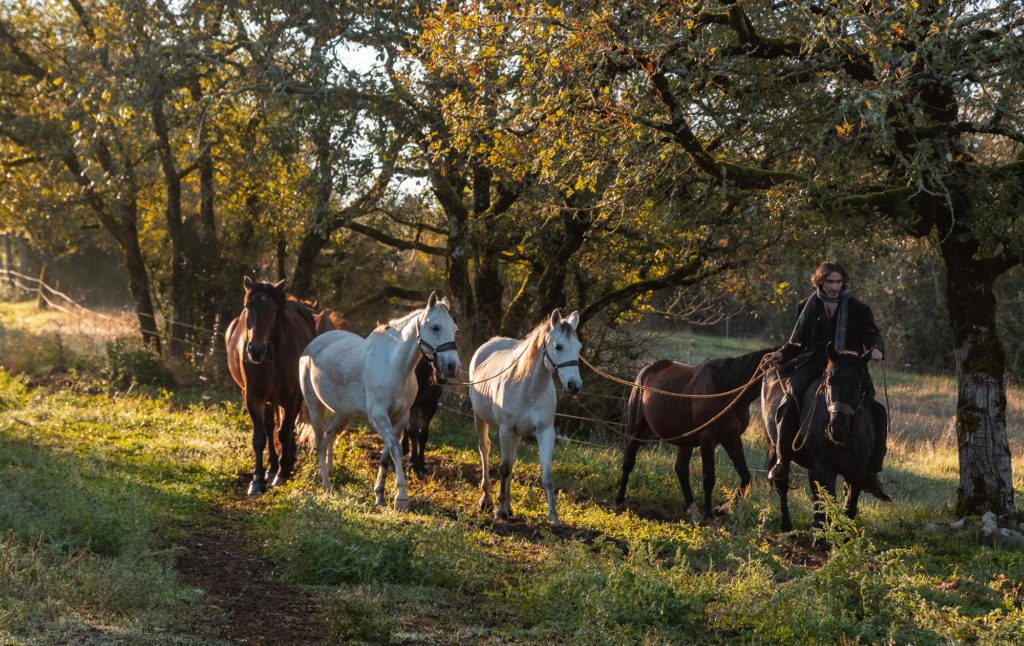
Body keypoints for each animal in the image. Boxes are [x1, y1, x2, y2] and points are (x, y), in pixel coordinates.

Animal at [226, 276, 317, 495]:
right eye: (248, 306)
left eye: (274, 309)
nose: (255, 350)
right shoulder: (254, 397)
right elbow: (260, 437)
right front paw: (257, 481)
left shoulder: (292, 398)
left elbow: (284, 432)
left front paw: (282, 474)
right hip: (267, 399)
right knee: (269, 428)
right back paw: (272, 467)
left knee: (286, 428)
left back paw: (285, 464)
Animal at [299, 292, 460, 509]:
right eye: (435, 327)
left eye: (454, 329)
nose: (453, 367)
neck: (395, 367)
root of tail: (312, 345)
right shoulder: (379, 417)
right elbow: (396, 449)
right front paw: (401, 497)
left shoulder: (399, 418)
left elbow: (386, 455)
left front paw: (380, 495)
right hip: (314, 405)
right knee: (320, 441)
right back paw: (326, 484)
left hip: (343, 412)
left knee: (330, 432)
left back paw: (328, 471)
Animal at [471, 309, 585, 524]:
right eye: (558, 346)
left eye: (579, 348)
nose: (574, 386)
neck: (529, 389)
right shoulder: (506, 431)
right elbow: (504, 469)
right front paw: (499, 510)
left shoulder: (545, 432)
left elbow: (546, 476)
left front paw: (554, 517)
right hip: (480, 418)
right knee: (485, 450)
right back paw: (487, 500)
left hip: (516, 434)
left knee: (512, 460)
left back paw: (509, 507)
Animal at [614, 348, 774, 520]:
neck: (726, 390)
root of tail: (646, 369)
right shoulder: (707, 439)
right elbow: (709, 479)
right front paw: (709, 514)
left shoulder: (732, 438)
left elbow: (746, 477)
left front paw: (722, 508)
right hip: (636, 429)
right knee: (628, 462)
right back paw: (619, 499)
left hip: (685, 440)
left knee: (681, 469)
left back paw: (693, 509)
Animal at [761, 343, 888, 532]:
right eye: (829, 383)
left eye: (859, 386)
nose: (837, 429)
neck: (845, 442)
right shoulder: (823, 470)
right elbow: (828, 507)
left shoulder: (856, 473)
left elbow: (849, 509)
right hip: (777, 449)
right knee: (782, 486)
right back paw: (787, 527)